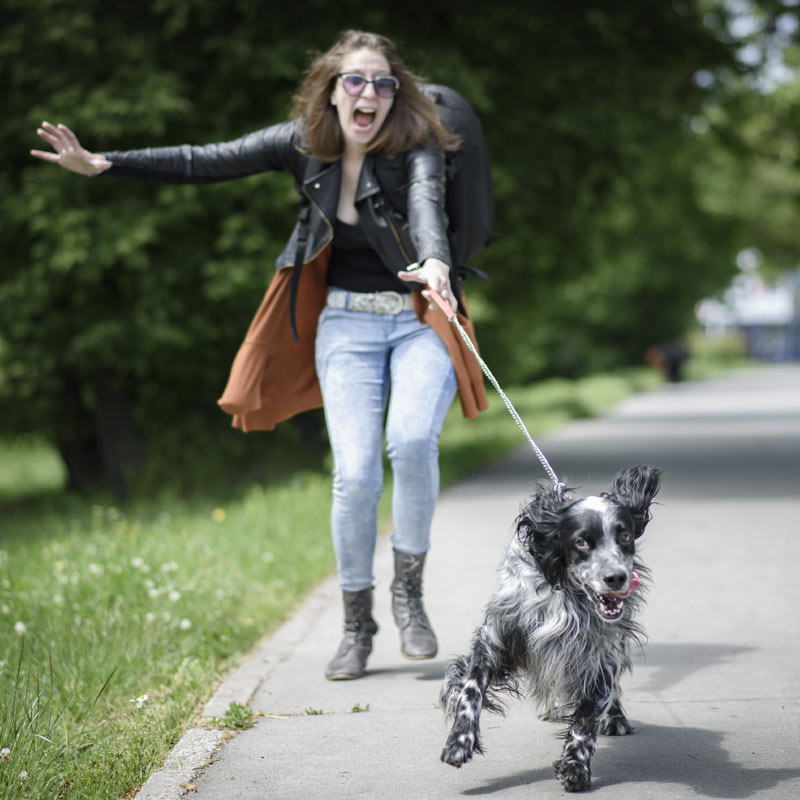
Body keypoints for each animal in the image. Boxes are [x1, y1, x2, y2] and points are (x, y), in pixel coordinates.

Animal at [440, 466, 660, 792]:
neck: (565, 591)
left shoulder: (598, 656)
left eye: (625, 536)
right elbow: (469, 690)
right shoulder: (495, 638)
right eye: (582, 541)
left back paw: (615, 717)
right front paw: (459, 741)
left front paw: (576, 766)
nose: (617, 578)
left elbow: (585, 720)